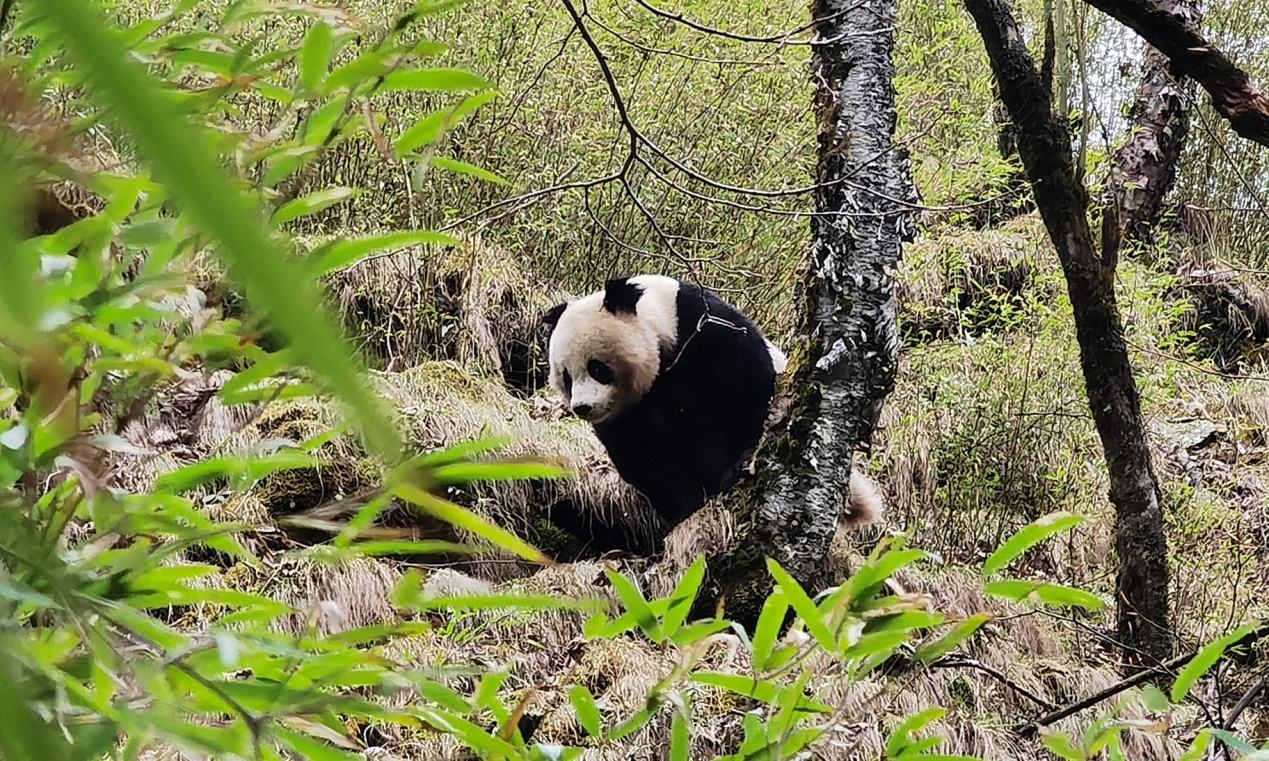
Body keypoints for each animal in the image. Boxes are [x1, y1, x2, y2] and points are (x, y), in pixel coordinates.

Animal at [538, 275, 883, 552]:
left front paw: (741, 464)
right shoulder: (628, 415)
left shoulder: (705, 333)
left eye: (597, 368)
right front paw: (688, 508)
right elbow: (646, 461)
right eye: (566, 377)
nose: (583, 407)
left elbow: (749, 395)